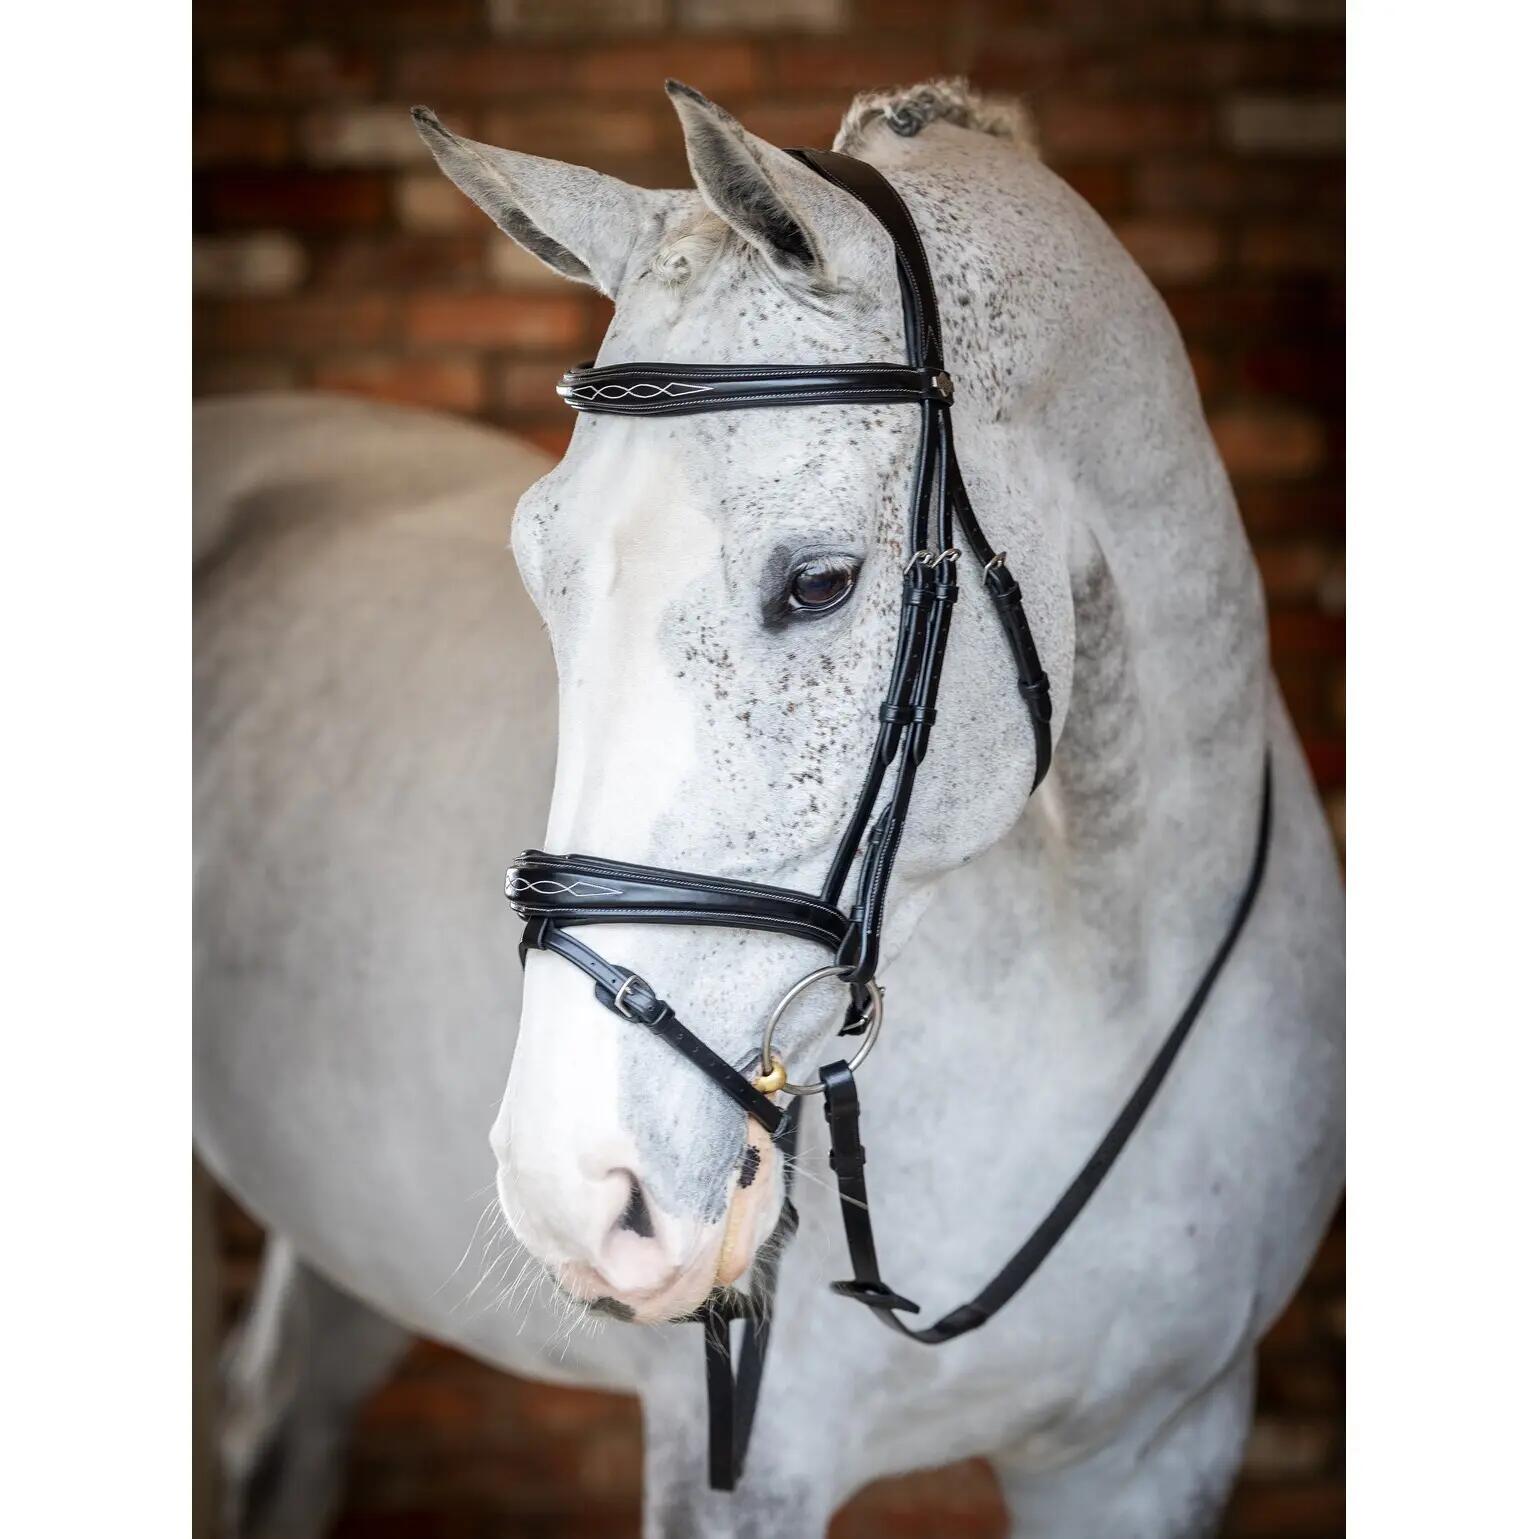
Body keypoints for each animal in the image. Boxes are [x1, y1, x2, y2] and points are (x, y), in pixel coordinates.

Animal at [194, 79, 1344, 1538]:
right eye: (538, 568)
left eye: (820, 582)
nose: (575, 1188)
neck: (1106, 972)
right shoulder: (738, 1466)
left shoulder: (1159, 1445)